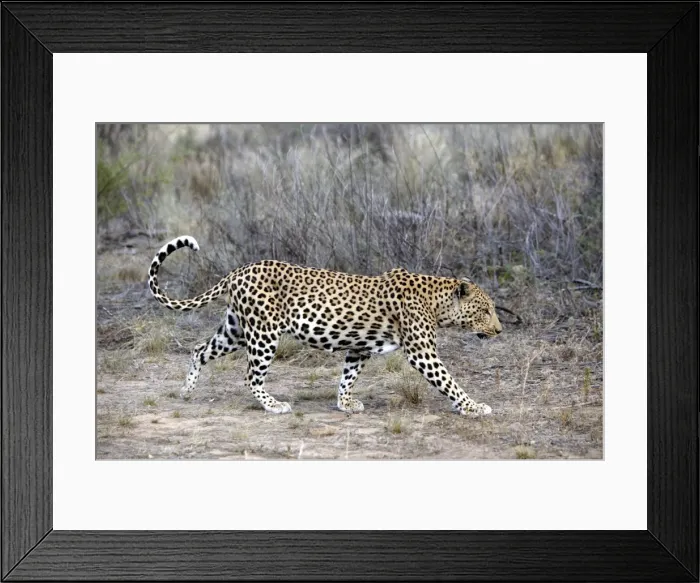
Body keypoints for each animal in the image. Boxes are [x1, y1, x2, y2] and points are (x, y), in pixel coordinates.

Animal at [147, 235, 502, 417]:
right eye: (486, 310)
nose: (500, 330)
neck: (437, 301)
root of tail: (238, 270)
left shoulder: (359, 348)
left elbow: (347, 378)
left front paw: (344, 403)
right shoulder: (421, 352)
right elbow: (449, 381)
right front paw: (473, 406)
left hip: (235, 329)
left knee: (199, 350)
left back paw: (186, 392)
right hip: (264, 333)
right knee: (250, 375)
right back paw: (274, 405)